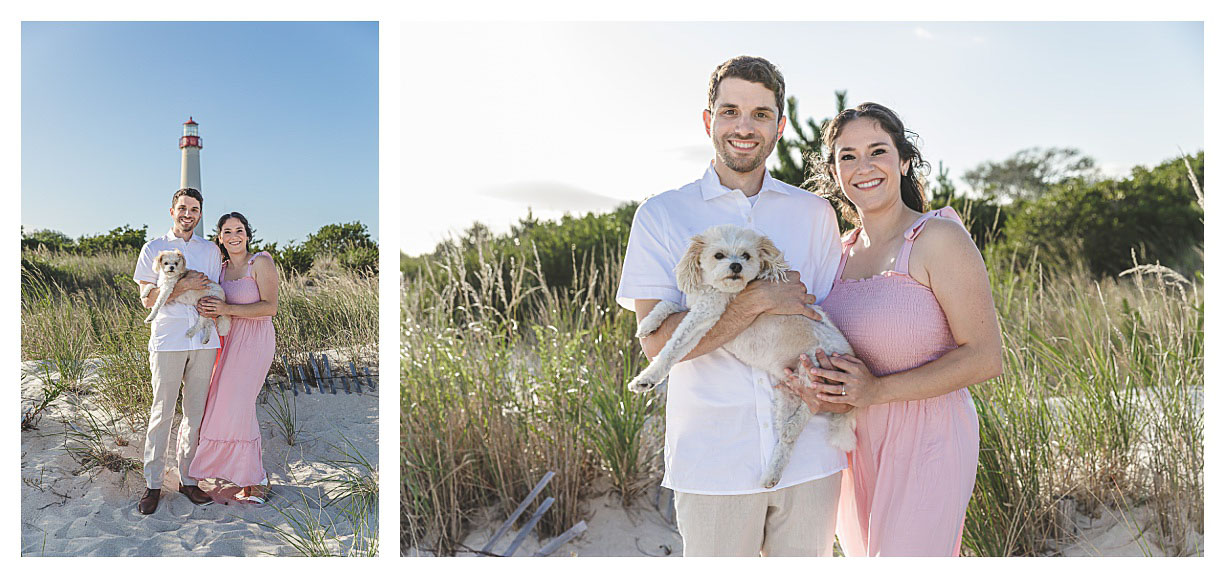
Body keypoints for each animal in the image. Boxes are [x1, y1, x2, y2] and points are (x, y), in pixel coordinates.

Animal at [627, 224, 857, 487]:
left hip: (814, 366)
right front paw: (647, 324)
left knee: (812, 405)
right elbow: (667, 304)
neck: (717, 289)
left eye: (746, 255)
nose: (736, 266)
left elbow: (672, 348)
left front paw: (646, 378)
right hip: (787, 392)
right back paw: (772, 473)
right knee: (787, 441)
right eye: (719, 255)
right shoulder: (698, 308)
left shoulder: (705, 315)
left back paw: (792, 427)